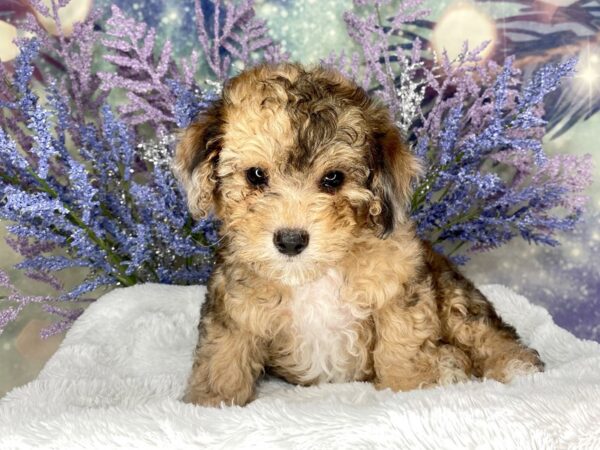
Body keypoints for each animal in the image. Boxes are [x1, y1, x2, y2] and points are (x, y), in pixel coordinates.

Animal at [173, 62, 544, 408]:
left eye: (333, 178)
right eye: (255, 176)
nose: (291, 240)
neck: (315, 274)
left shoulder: (399, 286)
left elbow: (402, 344)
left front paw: (408, 387)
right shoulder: (234, 303)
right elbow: (224, 353)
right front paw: (212, 401)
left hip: (453, 294)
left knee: (486, 333)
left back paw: (507, 365)